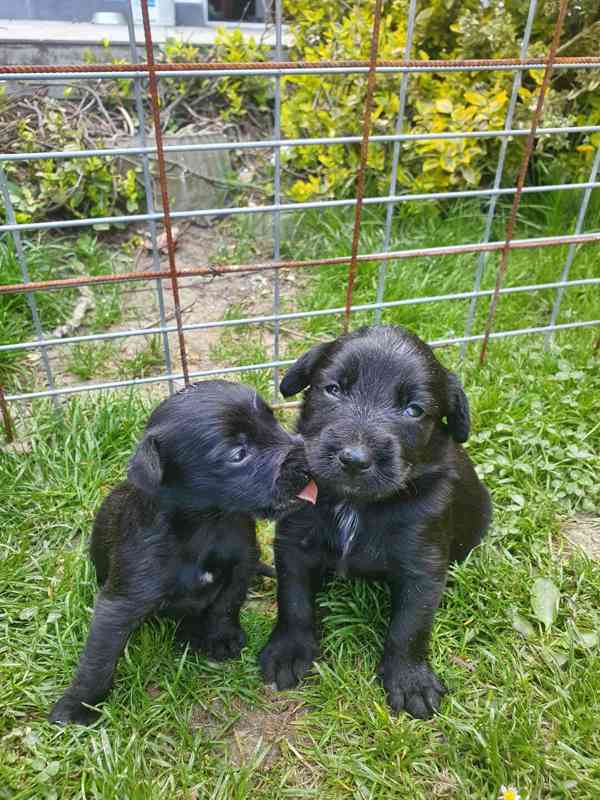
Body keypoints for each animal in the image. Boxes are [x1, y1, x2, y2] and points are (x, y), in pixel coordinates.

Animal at [47, 382, 314, 724]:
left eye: (274, 421)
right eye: (238, 454)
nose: (310, 462)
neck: (207, 524)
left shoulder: (243, 563)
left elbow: (226, 604)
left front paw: (221, 637)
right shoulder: (119, 602)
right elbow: (99, 657)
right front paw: (78, 704)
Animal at [260, 324, 490, 720]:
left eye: (413, 410)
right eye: (333, 389)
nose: (354, 459)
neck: (355, 503)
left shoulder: (423, 564)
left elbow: (410, 626)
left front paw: (410, 680)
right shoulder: (293, 543)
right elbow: (293, 601)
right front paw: (288, 650)